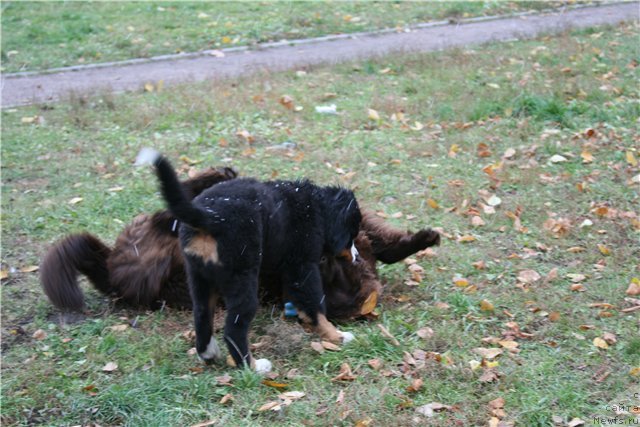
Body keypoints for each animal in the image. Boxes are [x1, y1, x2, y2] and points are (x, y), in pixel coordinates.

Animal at [138, 150, 362, 372]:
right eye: (352, 235)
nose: (358, 257)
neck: (316, 206)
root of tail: (211, 216)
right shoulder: (302, 267)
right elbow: (314, 304)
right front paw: (336, 336)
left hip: (199, 276)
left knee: (201, 314)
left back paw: (208, 353)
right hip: (241, 275)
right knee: (234, 328)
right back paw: (253, 366)